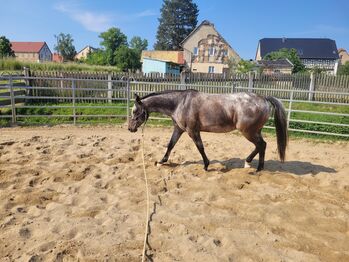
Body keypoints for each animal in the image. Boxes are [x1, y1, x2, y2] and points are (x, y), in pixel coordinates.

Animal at [127, 90, 286, 172]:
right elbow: (170, 145)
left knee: (261, 145)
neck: (180, 103)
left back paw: (257, 168)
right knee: (261, 145)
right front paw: (161, 162)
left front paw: (206, 165)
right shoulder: (179, 129)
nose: (130, 128)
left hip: (248, 131)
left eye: (135, 111)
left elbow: (200, 147)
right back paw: (249, 163)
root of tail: (263, 98)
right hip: (255, 131)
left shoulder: (193, 131)